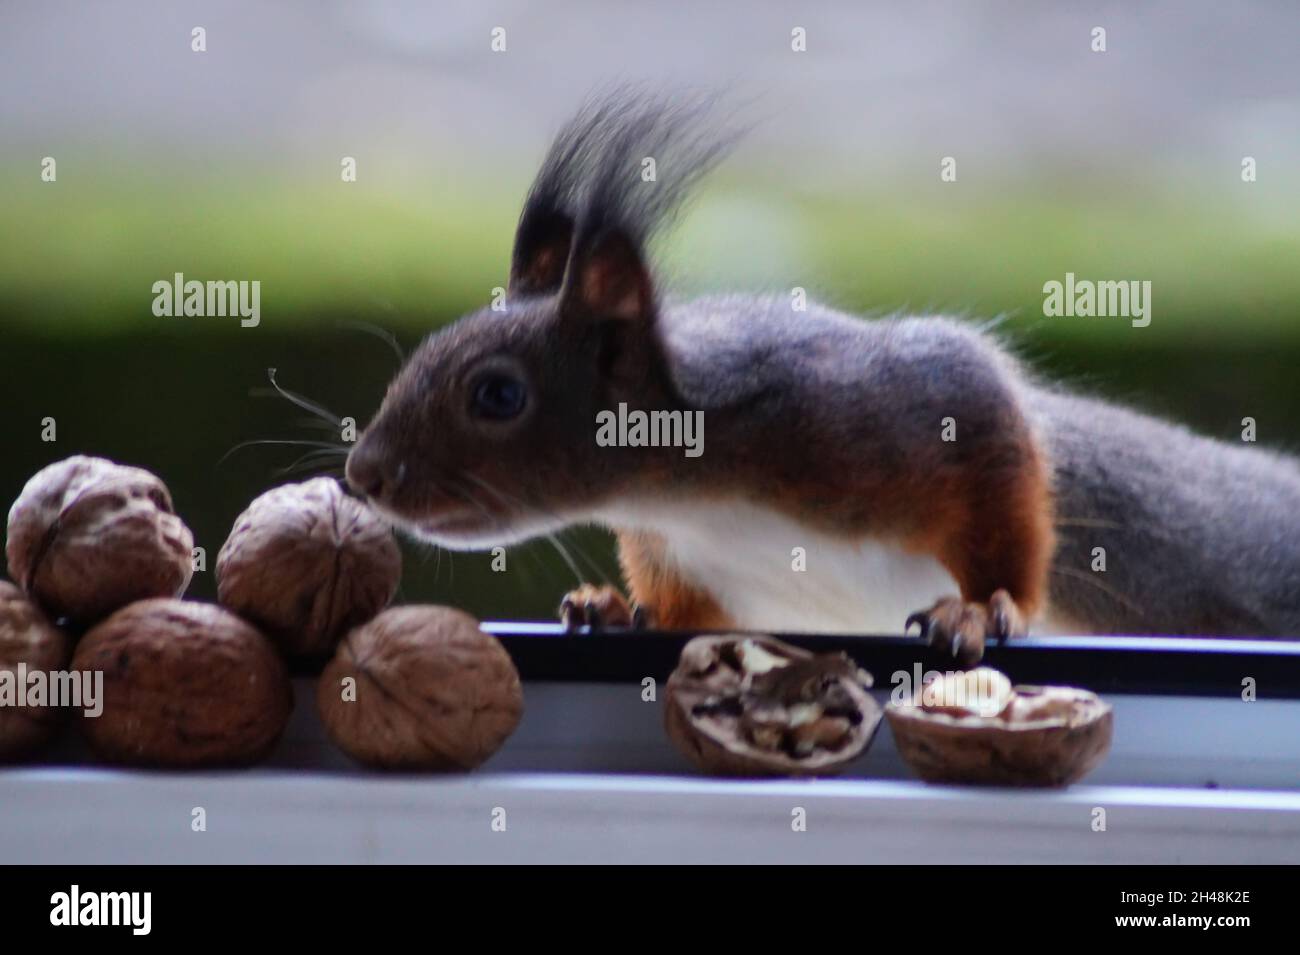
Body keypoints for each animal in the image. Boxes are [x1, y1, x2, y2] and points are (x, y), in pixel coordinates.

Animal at [343, 95, 1300, 665]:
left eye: (497, 394)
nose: (363, 474)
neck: (687, 492)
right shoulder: (695, 561)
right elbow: (693, 617)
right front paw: (615, 608)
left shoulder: (905, 406)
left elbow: (1006, 491)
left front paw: (981, 605)